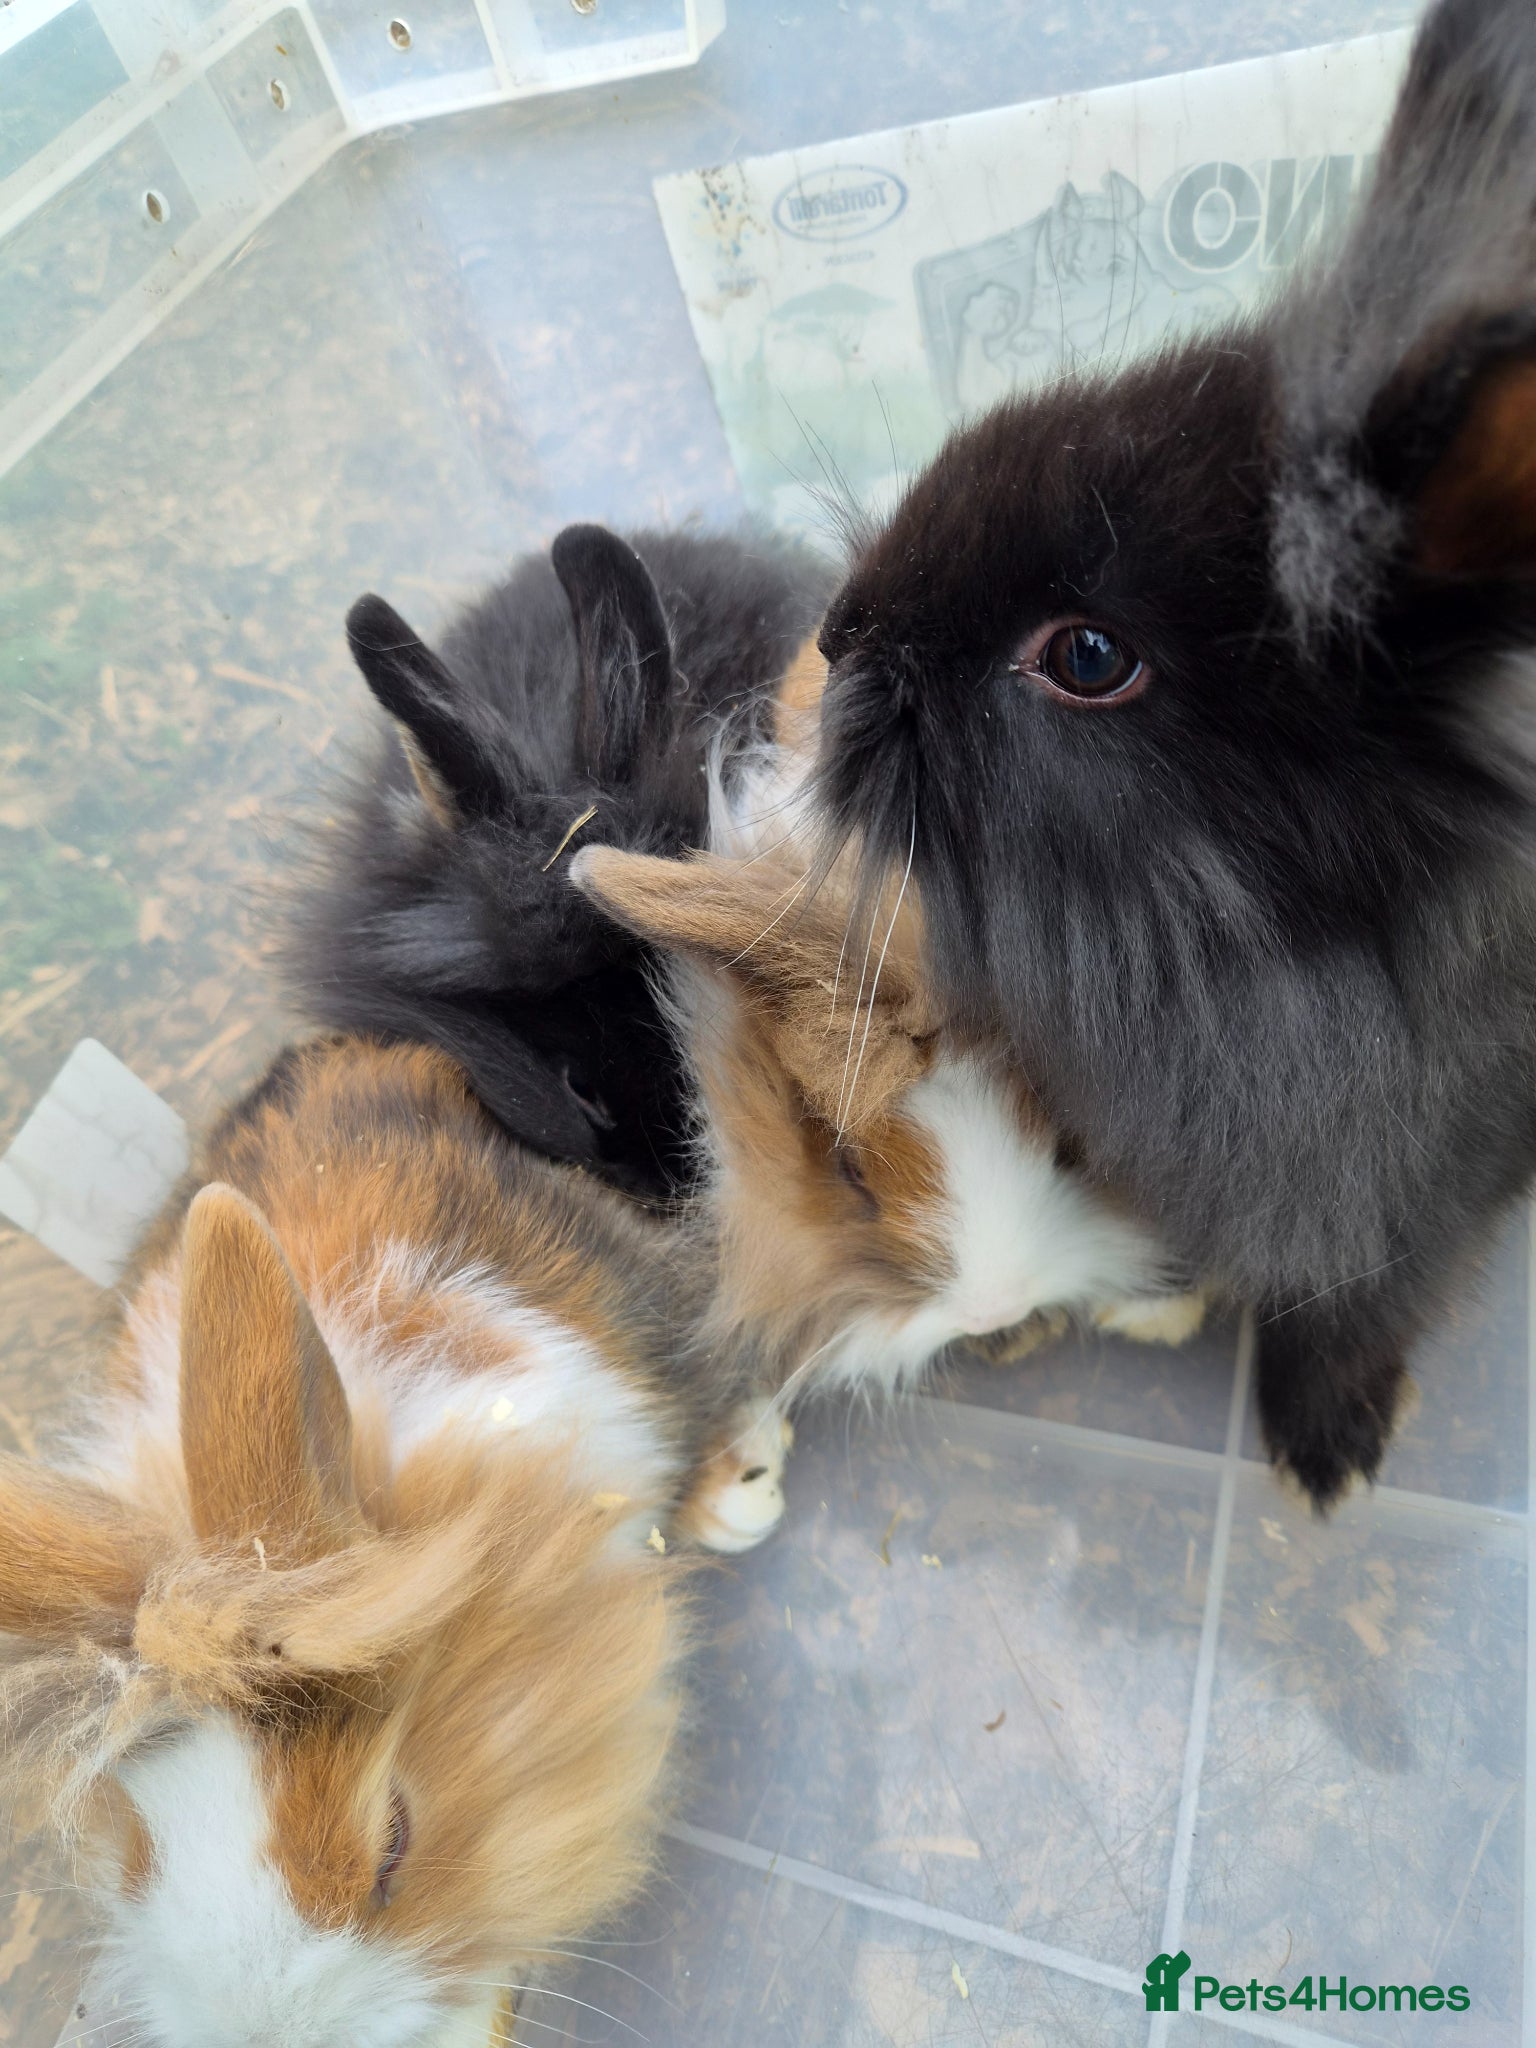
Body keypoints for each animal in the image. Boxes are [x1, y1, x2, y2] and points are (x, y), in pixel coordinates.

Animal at [810, 0, 1536, 1509]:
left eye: (1089, 657)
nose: (837, 632)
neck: (1276, 970)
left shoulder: (1433, 1198)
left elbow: (1359, 1306)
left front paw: (1325, 1458)